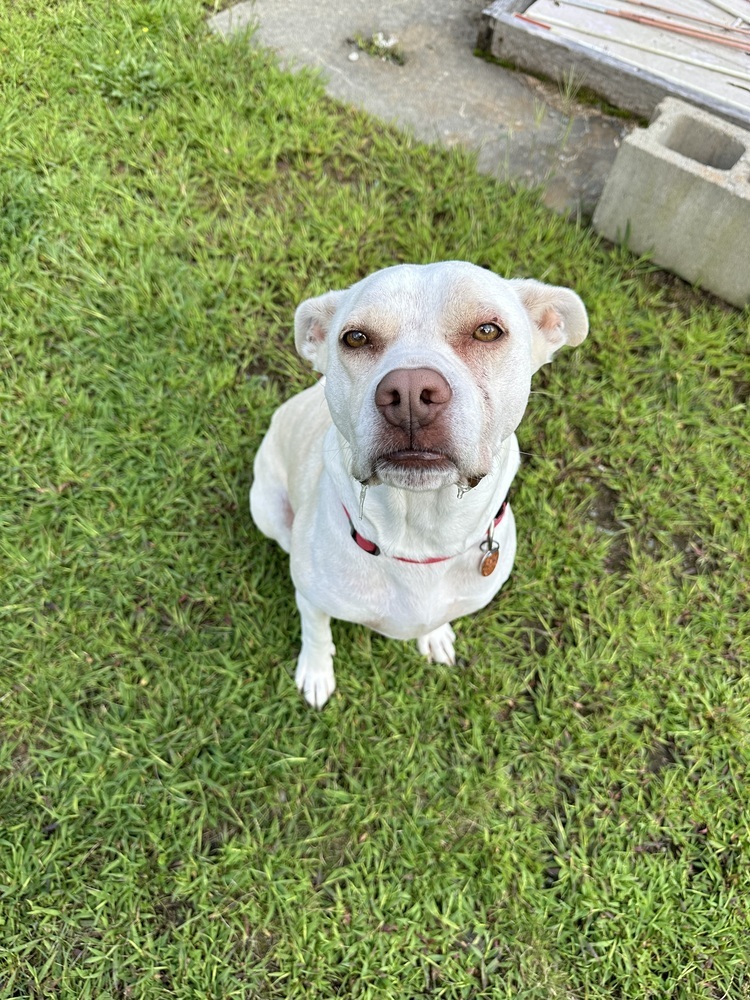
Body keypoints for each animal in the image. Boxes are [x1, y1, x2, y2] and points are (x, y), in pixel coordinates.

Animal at [250, 262, 592, 708]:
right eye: (355, 338)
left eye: (487, 331)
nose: (410, 392)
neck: (420, 533)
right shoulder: (311, 599)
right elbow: (316, 632)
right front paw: (316, 672)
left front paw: (434, 636)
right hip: (267, 507)